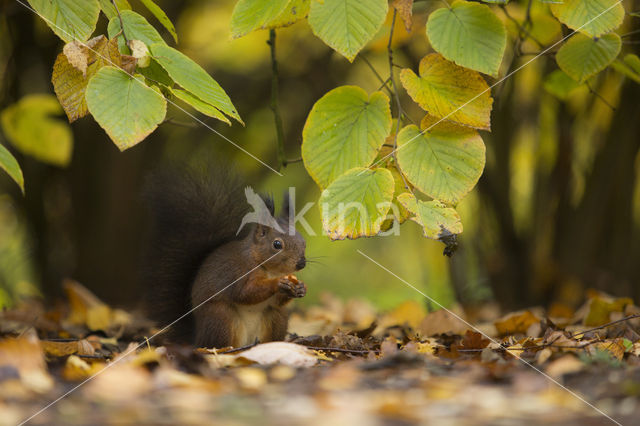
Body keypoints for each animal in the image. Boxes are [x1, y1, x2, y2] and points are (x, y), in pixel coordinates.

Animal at [143, 165, 308, 348]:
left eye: (303, 241)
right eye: (277, 244)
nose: (301, 263)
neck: (265, 267)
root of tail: (196, 338)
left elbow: (276, 301)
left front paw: (300, 288)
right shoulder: (237, 272)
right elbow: (245, 293)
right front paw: (278, 283)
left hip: (277, 317)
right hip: (222, 318)